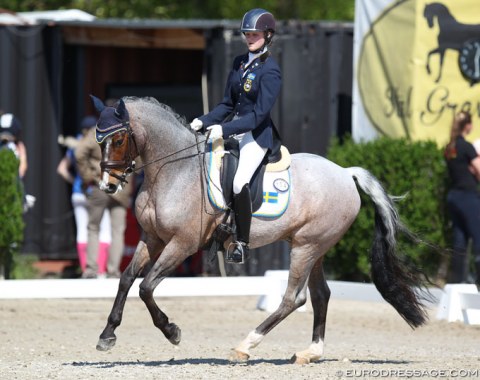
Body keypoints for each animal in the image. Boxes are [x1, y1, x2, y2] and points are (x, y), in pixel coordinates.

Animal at [90, 95, 432, 366]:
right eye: (98, 140)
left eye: (118, 140)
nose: (107, 186)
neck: (175, 171)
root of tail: (346, 174)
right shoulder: (153, 238)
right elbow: (125, 280)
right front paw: (107, 335)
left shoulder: (182, 244)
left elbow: (146, 287)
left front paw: (172, 331)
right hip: (314, 247)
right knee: (321, 294)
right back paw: (310, 353)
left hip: (306, 247)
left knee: (294, 298)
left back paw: (244, 346)